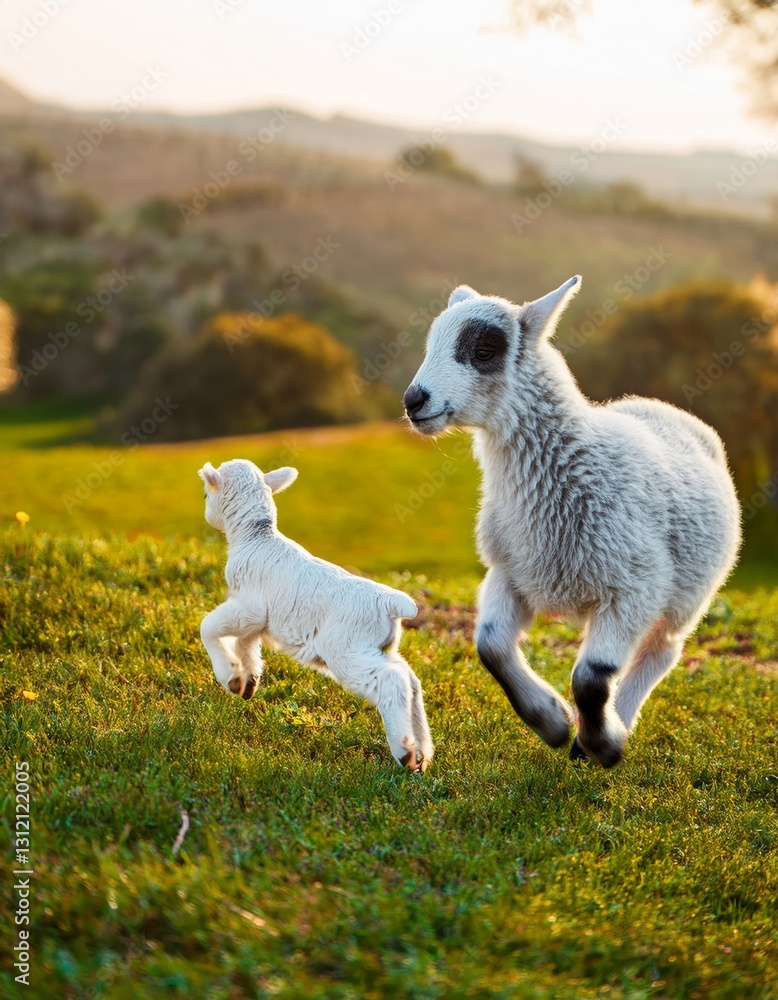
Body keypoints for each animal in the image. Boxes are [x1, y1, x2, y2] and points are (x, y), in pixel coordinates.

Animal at [197, 458, 434, 772]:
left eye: (206, 494)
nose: (206, 513)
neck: (255, 536)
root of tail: (390, 601)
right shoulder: (259, 617)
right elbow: (245, 644)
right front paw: (246, 683)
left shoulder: (249, 606)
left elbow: (209, 627)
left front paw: (229, 675)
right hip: (376, 648)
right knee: (410, 680)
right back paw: (421, 755)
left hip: (346, 650)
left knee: (391, 682)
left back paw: (404, 752)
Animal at [402, 276, 741, 767]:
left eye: (484, 350)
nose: (414, 401)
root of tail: (660, 406)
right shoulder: (511, 570)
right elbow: (490, 646)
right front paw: (551, 722)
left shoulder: (636, 585)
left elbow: (591, 678)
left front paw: (602, 744)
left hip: (687, 593)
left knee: (661, 651)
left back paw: (615, 724)